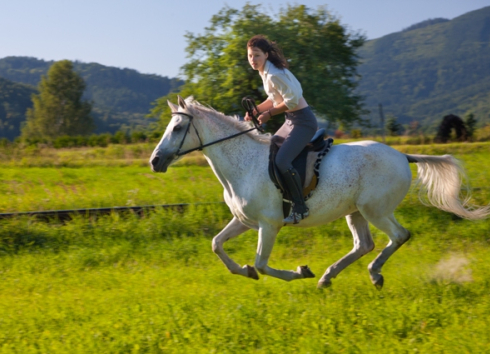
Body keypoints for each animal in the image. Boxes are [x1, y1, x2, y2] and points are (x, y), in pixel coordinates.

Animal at [150, 96, 490, 288]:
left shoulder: (269, 225)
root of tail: (401, 155)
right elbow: (216, 245)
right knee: (364, 244)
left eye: (177, 129)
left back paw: (373, 274)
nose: (155, 161)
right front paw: (243, 271)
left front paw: (300, 272)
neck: (242, 164)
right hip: (355, 212)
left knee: (398, 236)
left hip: (375, 210)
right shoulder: (244, 221)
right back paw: (329, 277)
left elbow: (261, 263)